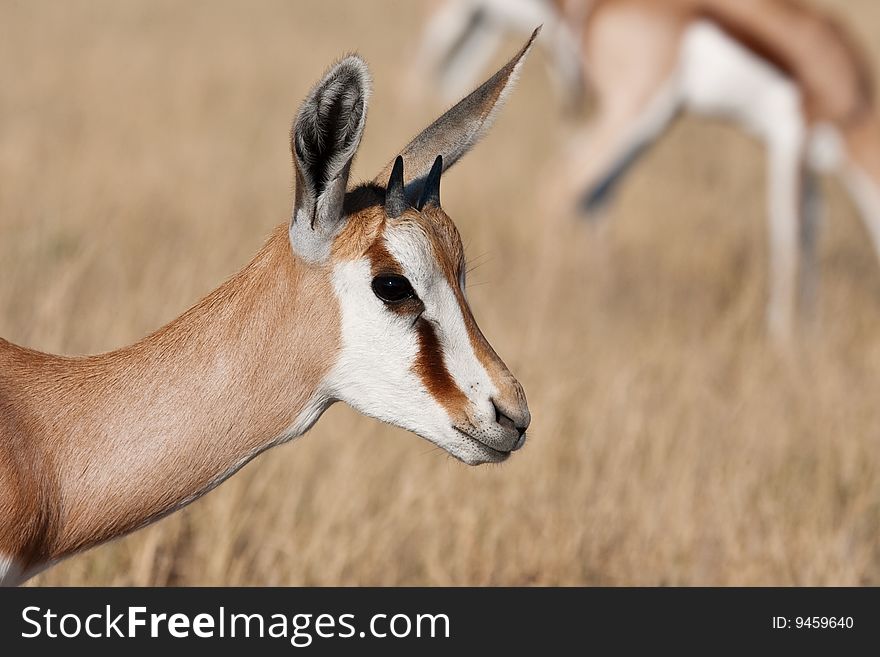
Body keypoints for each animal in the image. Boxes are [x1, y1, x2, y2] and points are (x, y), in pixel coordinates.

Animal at [416, 0, 880, 338]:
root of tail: (596, 12)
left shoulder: (810, 162)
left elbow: (812, 230)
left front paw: (811, 330)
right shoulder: (788, 140)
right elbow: (788, 233)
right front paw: (783, 339)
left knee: (592, 193)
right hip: (637, 113)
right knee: (561, 185)